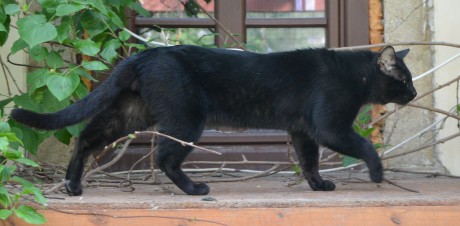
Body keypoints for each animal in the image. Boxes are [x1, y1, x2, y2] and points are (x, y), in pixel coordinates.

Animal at [11, 45, 416, 195]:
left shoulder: (303, 130)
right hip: (185, 119)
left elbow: (309, 161)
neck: (354, 74)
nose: (413, 94)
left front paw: (318, 186)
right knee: (164, 157)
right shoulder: (330, 126)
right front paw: (378, 174)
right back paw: (194, 189)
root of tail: (144, 54)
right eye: (405, 80)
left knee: (85, 137)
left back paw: (73, 185)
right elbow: (363, 145)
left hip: (131, 114)